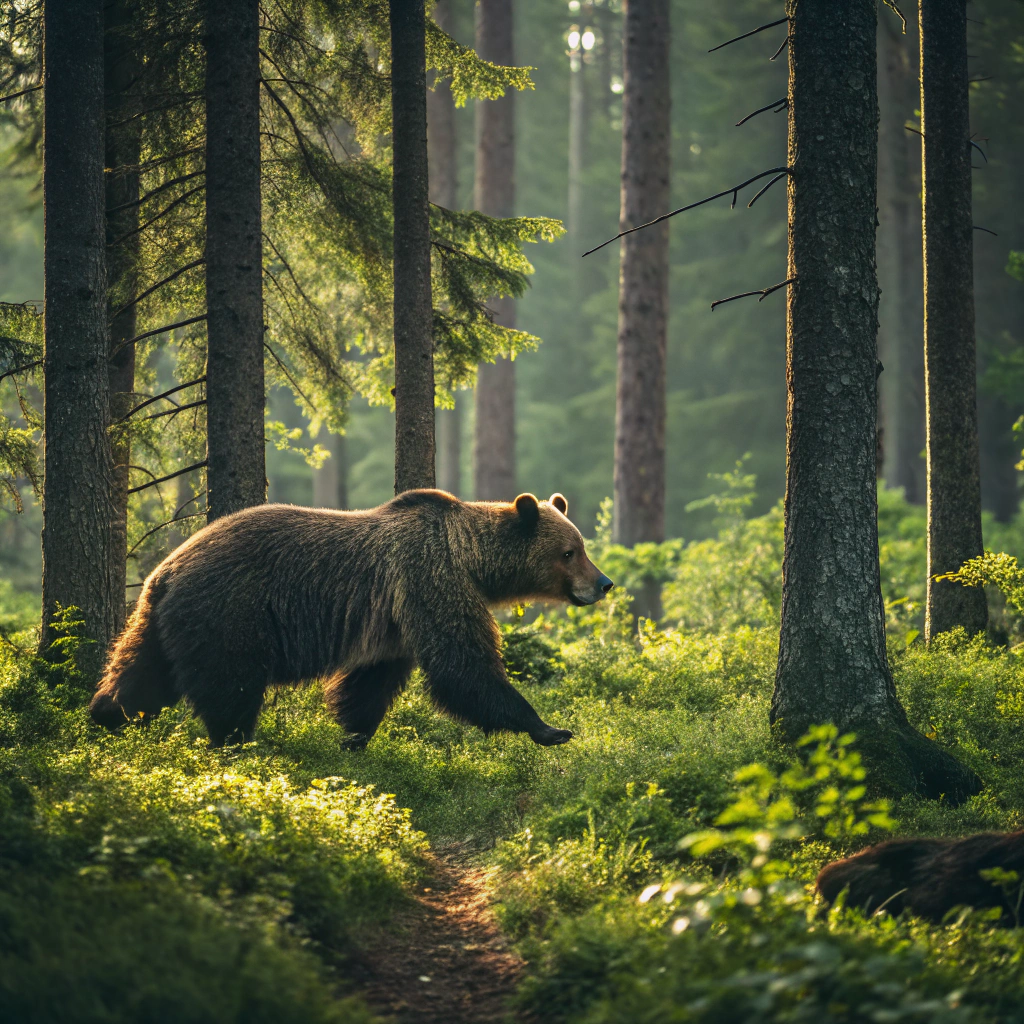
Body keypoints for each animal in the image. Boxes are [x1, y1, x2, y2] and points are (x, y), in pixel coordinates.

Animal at [90, 489, 613, 748]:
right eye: (570, 552)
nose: (604, 583)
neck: (470, 560)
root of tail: (165, 569)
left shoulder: (395, 620)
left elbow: (371, 680)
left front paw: (354, 735)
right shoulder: (428, 577)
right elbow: (462, 666)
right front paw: (548, 728)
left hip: (158, 623)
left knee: (139, 676)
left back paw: (102, 720)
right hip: (228, 614)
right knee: (229, 688)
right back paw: (237, 745)